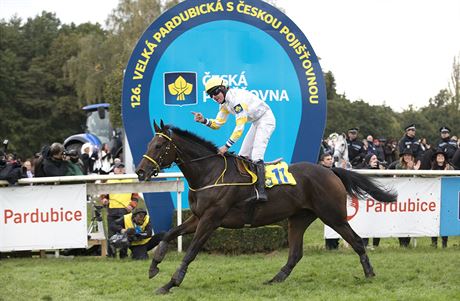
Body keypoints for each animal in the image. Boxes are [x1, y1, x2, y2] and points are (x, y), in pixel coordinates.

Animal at [135, 120, 398, 292]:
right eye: (148, 144)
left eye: (158, 146)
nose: (140, 171)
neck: (209, 173)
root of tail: (329, 170)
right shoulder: (198, 217)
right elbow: (170, 233)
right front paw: (154, 265)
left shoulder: (211, 219)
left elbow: (191, 251)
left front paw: (171, 282)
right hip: (299, 218)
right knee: (295, 254)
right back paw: (275, 279)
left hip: (333, 216)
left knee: (356, 241)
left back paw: (369, 273)